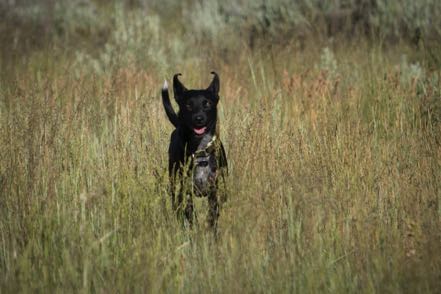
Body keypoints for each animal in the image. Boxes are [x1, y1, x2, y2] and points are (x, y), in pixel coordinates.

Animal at [163, 71, 229, 227]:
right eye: (188, 105)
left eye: (207, 103)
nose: (199, 118)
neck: (200, 150)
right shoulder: (186, 191)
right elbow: (190, 214)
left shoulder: (214, 190)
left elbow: (212, 215)